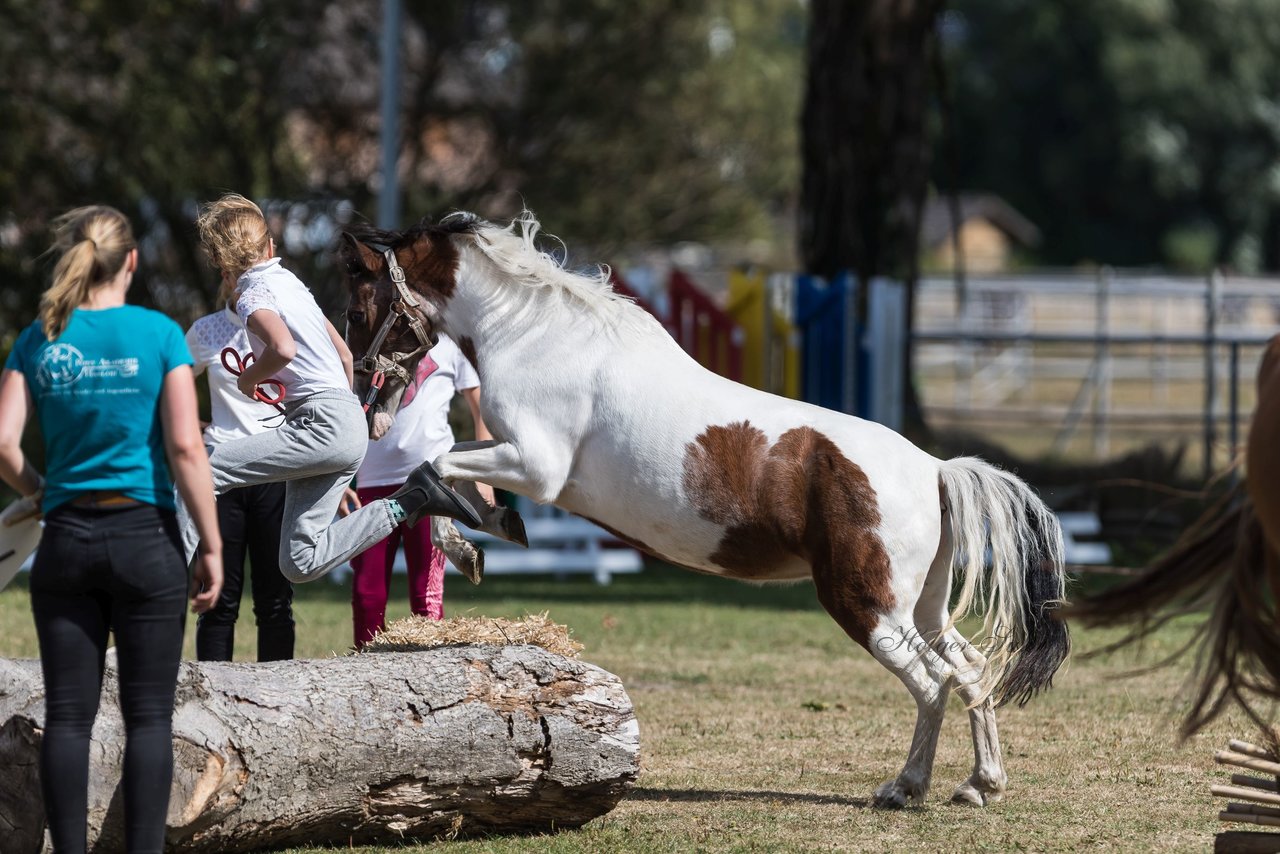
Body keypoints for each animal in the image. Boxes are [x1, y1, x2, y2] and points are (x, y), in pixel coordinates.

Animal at [340, 213, 1070, 809]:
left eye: (357, 296)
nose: (368, 393)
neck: (533, 334)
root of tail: (934, 470)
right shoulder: (515, 456)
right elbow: (444, 466)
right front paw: (482, 533)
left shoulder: (536, 466)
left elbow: (436, 467)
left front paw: (479, 538)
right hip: (920, 609)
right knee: (970, 670)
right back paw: (979, 785)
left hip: (868, 608)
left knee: (932, 681)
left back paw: (905, 789)